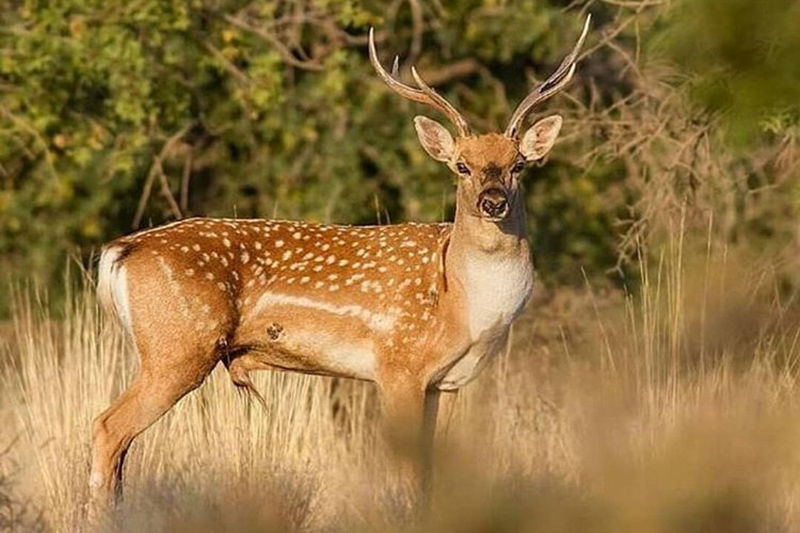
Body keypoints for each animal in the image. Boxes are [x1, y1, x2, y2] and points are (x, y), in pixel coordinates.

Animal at [89, 15, 588, 512]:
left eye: (519, 164)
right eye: (461, 166)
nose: (493, 202)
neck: (462, 301)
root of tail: (120, 250)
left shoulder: (445, 382)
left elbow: (430, 476)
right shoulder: (398, 365)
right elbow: (408, 480)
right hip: (177, 347)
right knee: (108, 427)